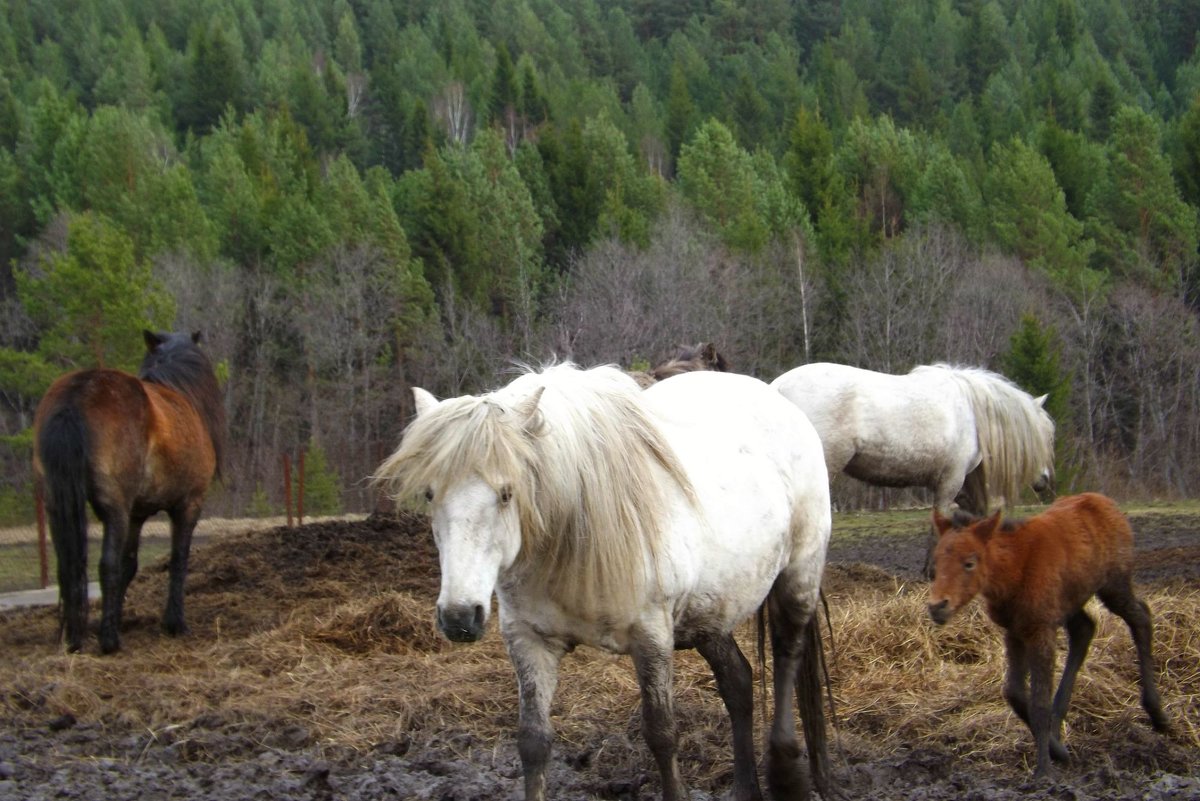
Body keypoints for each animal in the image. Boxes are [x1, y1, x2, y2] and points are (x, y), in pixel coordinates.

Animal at [34, 330, 225, 652]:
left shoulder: (137, 514)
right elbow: (178, 559)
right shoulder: (188, 504)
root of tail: (77, 393)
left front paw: (114, 618)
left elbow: (130, 564)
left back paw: (75, 637)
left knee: (68, 567)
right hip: (115, 509)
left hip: (59, 504)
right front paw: (174, 623)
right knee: (106, 564)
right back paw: (110, 642)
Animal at [374, 364, 835, 801]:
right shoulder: (528, 640)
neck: (572, 532)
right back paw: (745, 789)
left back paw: (787, 772)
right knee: (737, 682)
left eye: (507, 493)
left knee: (787, 658)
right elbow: (533, 741)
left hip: (797, 582)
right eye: (430, 494)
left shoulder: (652, 638)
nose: (458, 617)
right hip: (710, 613)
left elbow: (662, 734)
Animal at [926, 494, 1171, 777]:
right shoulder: (1015, 631)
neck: (1015, 568)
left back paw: (1158, 715)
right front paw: (1058, 751)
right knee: (1084, 629)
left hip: (1114, 584)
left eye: (969, 562)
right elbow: (1014, 692)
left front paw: (1044, 769)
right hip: (1070, 602)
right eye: (935, 564)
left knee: (1141, 617)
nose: (937, 606)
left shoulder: (1041, 629)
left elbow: (1039, 701)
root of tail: (1106, 504)